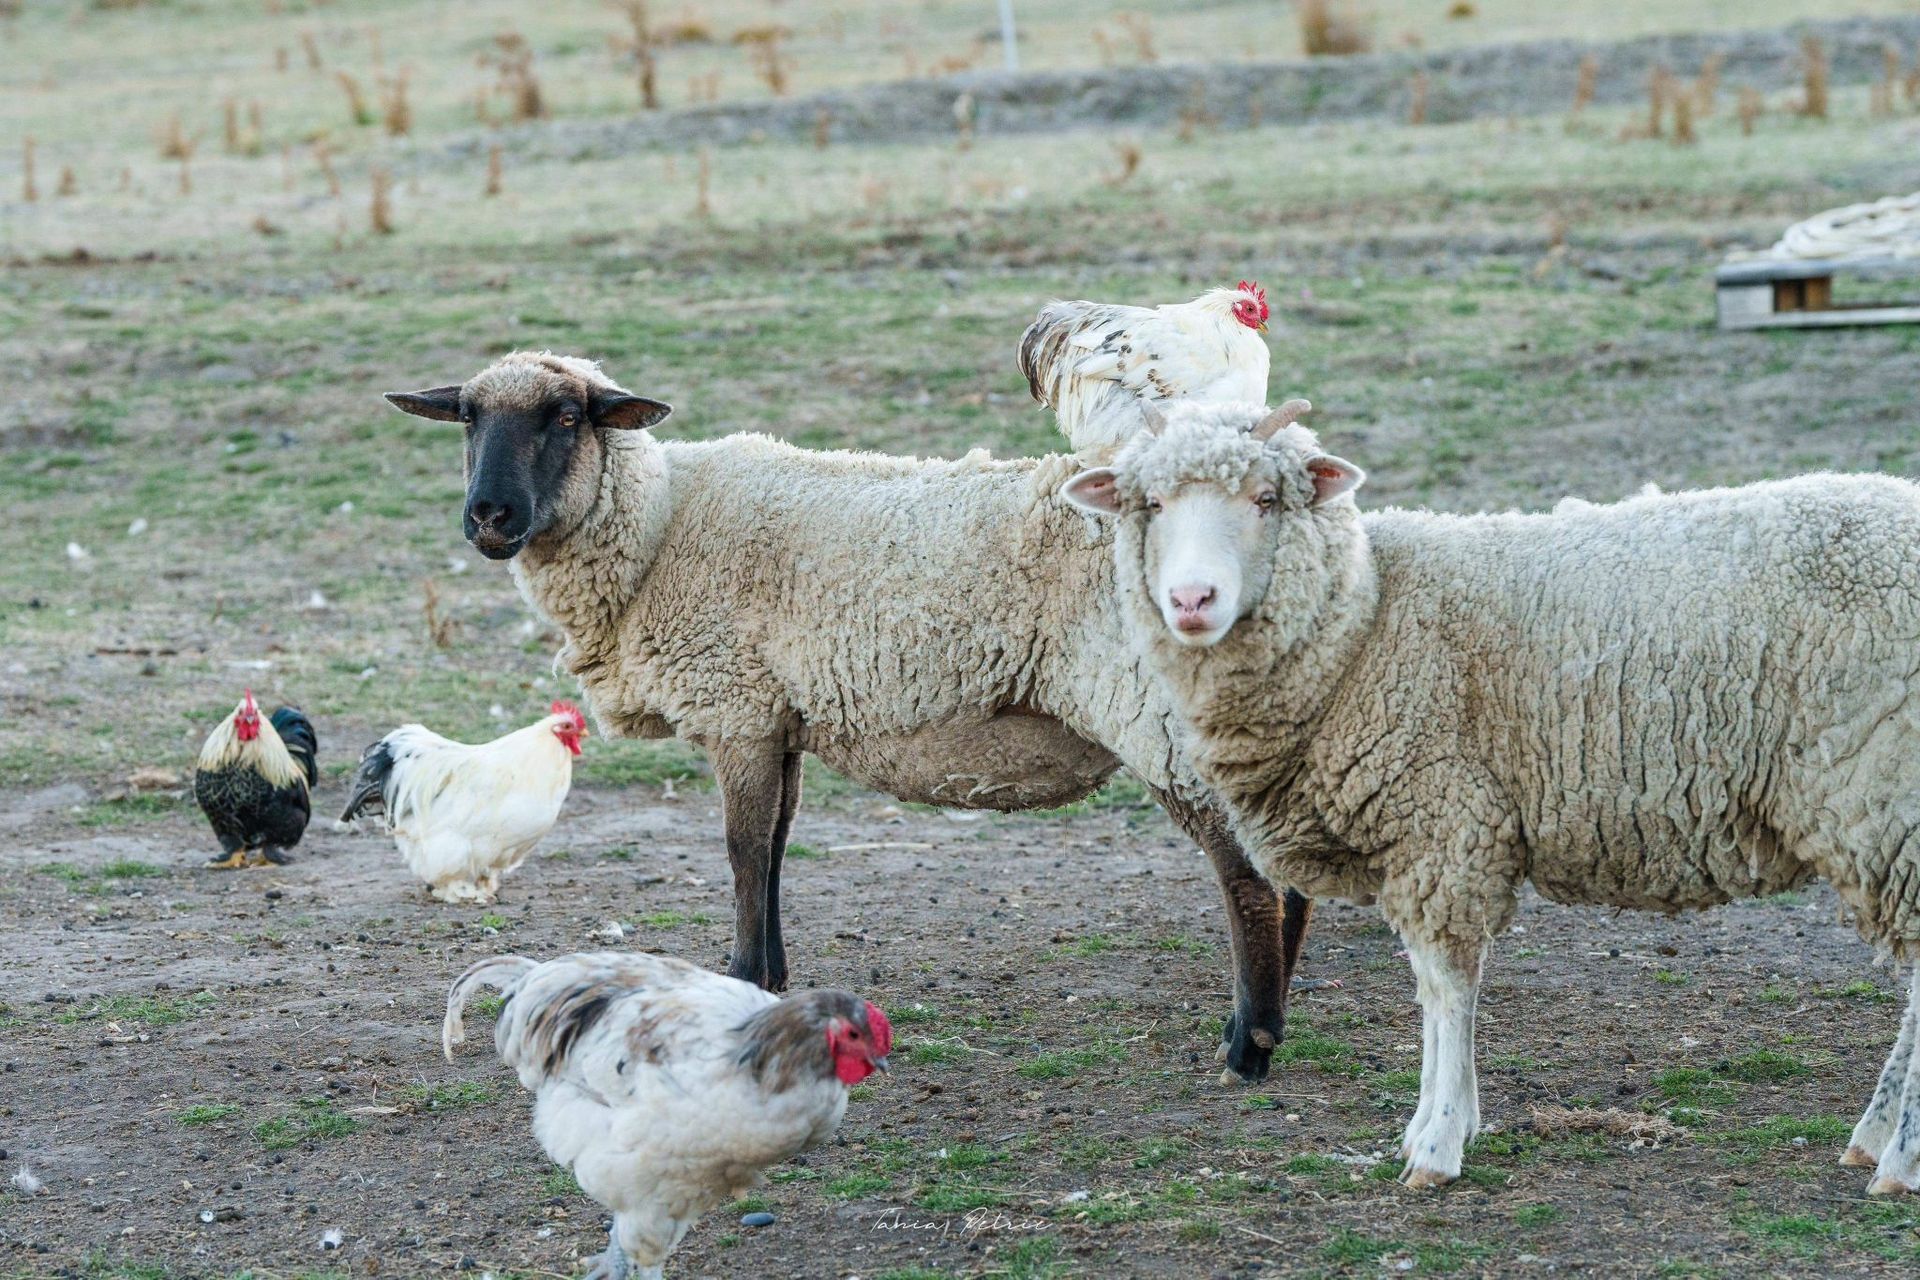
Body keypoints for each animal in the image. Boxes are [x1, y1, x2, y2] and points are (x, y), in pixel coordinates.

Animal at [383, 351, 1316, 1083]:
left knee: (1250, 879)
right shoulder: (778, 716)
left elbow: (742, 850)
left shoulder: (738, 708)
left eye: (568, 416)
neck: (661, 526)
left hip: (1166, 720)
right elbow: (776, 847)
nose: (490, 517)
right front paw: (772, 976)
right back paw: (1271, 1013)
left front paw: (741, 977)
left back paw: (1250, 1044)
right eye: (467, 417)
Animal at [1065, 398, 1920, 1192]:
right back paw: (1872, 1138)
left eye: (1267, 499)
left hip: (1883, 794)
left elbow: (1448, 987)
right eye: (1151, 504)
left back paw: (1898, 1160)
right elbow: (1430, 986)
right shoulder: (1426, 838)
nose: (1192, 600)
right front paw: (1433, 1125)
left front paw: (1438, 1142)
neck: (1365, 620)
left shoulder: (1444, 822)